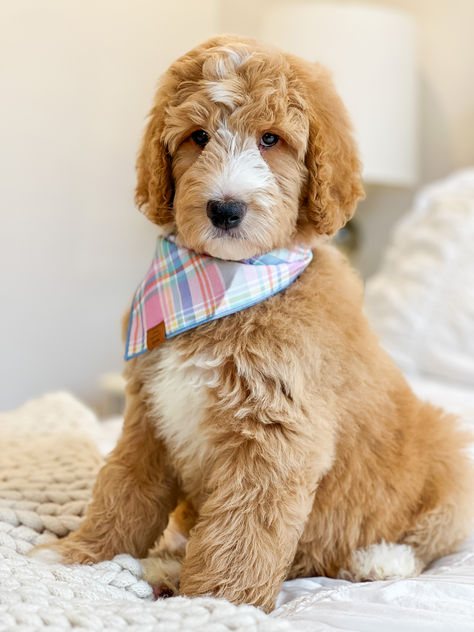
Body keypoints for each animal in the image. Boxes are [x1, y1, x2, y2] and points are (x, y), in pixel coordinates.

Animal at [34, 34, 474, 612]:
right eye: (197, 137)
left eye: (272, 139)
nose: (225, 210)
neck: (224, 283)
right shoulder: (149, 413)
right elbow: (123, 488)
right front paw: (81, 556)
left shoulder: (274, 434)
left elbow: (243, 526)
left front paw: (215, 602)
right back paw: (167, 564)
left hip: (448, 453)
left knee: (432, 534)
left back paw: (380, 560)